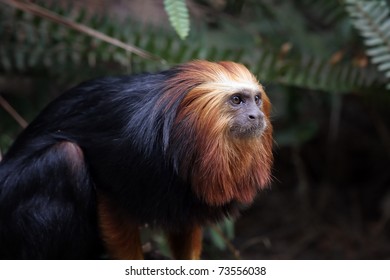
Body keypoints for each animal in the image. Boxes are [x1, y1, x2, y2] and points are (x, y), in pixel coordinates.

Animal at [0, 60, 274, 260]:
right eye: (237, 100)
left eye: (256, 99)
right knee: (65, 156)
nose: (256, 115)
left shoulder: (186, 191)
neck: (179, 134)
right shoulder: (129, 151)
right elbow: (113, 206)